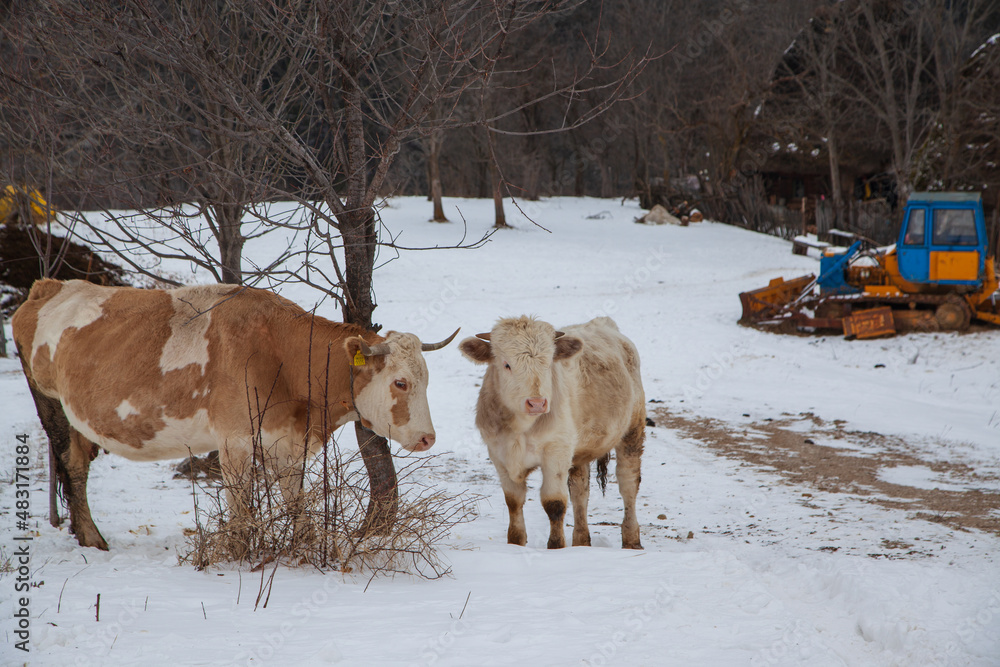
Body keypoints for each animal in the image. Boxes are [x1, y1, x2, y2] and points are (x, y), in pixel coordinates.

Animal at [11, 279, 458, 550]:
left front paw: (302, 546)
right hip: (51, 403)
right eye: (401, 382)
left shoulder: (286, 441)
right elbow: (241, 508)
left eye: (426, 379)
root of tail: (50, 286)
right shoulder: (235, 440)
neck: (279, 351)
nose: (428, 437)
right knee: (73, 465)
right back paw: (91, 537)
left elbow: (295, 501)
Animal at [459, 315, 646, 550]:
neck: (520, 429)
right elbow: (513, 501)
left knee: (628, 482)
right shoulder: (498, 454)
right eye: (506, 364)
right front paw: (515, 544)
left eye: (548, 363)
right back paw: (581, 542)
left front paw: (556, 547)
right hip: (579, 451)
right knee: (580, 491)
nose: (537, 403)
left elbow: (554, 503)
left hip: (632, 431)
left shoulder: (556, 451)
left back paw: (631, 540)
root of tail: (603, 323)